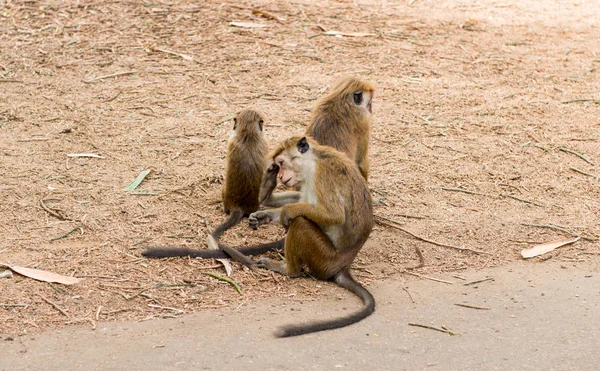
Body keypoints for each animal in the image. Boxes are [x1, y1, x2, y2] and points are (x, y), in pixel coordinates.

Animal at [248, 136, 376, 338]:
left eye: (282, 163)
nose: (280, 176)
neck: (314, 161)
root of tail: (343, 265)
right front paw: (265, 213)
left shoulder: (322, 175)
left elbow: (334, 215)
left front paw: (285, 212)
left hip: (323, 258)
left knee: (300, 223)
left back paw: (288, 269)